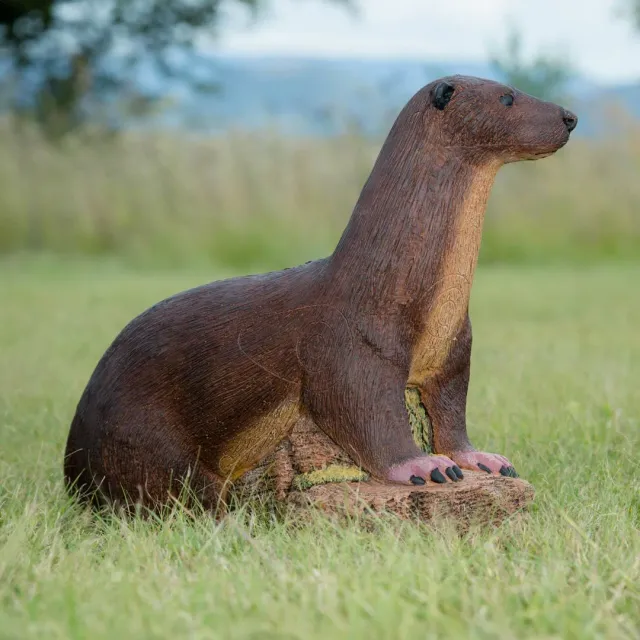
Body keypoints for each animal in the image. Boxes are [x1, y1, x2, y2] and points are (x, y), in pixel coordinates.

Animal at [64, 75, 577, 511]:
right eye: (507, 97)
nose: (570, 116)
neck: (400, 292)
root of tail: (72, 455)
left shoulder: (453, 353)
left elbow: (452, 415)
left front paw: (478, 458)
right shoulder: (351, 350)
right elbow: (369, 419)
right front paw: (422, 466)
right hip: (139, 433)